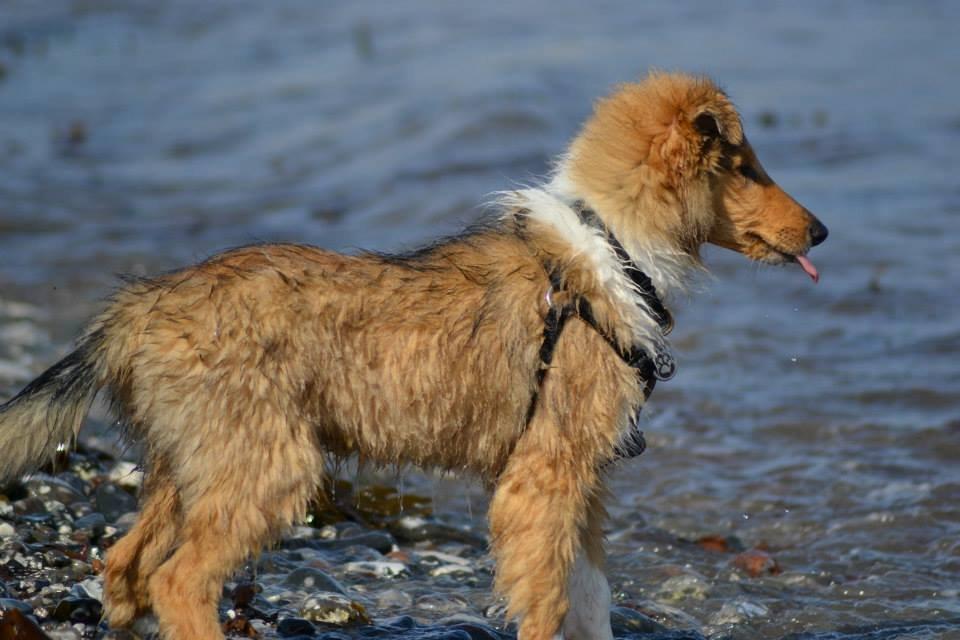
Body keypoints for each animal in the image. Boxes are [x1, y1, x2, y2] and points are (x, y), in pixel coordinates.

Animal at [0, 72, 824, 636]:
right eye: (744, 166)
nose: (820, 232)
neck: (614, 250)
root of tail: (137, 308)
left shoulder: (584, 481)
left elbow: (590, 602)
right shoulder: (545, 476)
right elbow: (549, 601)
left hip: (192, 464)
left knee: (126, 566)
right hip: (268, 465)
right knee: (179, 581)